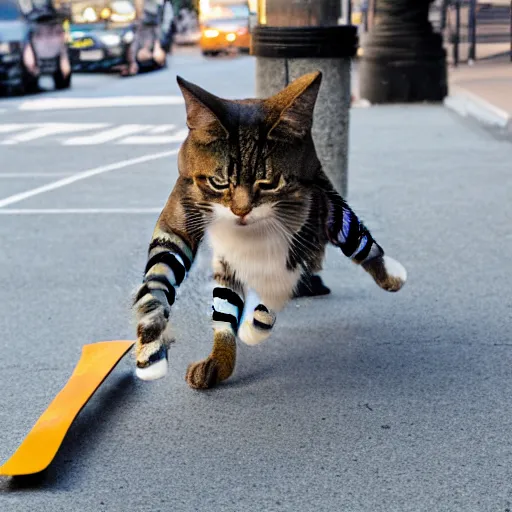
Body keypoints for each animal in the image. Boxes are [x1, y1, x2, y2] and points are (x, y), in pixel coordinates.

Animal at [133, 71, 408, 388]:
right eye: (219, 183)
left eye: (268, 184)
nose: (241, 211)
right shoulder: (180, 227)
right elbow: (160, 285)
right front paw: (159, 351)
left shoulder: (296, 242)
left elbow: (270, 293)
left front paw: (253, 326)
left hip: (326, 211)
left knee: (356, 236)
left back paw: (390, 273)